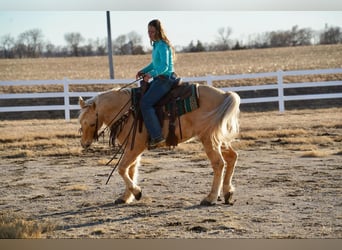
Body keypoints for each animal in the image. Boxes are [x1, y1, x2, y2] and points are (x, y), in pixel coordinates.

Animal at [78, 84, 239, 205]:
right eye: (81, 122)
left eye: (91, 123)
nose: (84, 144)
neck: (127, 110)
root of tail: (224, 95)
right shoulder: (131, 148)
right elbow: (131, 170)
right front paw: (126, 197)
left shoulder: (136, 147)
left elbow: (122, 169)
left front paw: (137, 192)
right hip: (219, 138)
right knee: (232, 157)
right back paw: (228, 192)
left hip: (208, 139)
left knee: (218, 163)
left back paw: (210, 198)